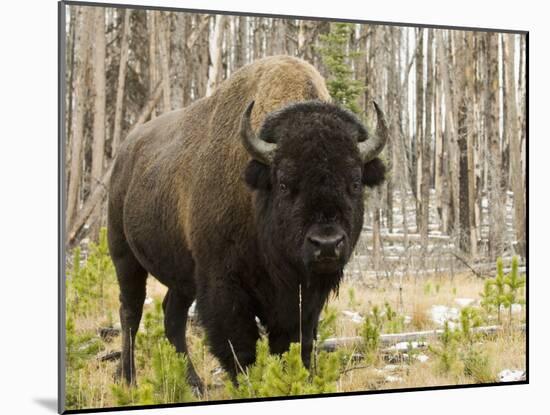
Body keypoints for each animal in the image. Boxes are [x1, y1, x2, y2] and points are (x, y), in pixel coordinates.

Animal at [109, 56, 388, 394]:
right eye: (284, 183)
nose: (326, 244)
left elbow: (296, 343)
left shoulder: (303, 300)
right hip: (124, 255)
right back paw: (128, 378)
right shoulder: (224, 286)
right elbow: (240, 347)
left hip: (182, 275)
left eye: (356, 182)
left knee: (171, 315)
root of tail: (125, 153)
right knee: (131, 311)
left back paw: (193, 383)